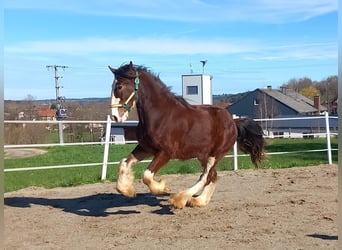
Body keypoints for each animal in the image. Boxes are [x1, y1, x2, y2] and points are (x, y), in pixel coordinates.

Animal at [109, 61, 264, 208]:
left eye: (119, 87)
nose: (115, 117)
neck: (159, 116)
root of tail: (233, 121)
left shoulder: (166, 153)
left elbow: (146, 175)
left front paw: (163, 187)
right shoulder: (145, 148)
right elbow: (123, 163)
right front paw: (127, 190)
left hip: (216, 154)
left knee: (205, 176)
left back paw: (180, 199)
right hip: (203, 155)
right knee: (213, 175)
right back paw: (199, 201)